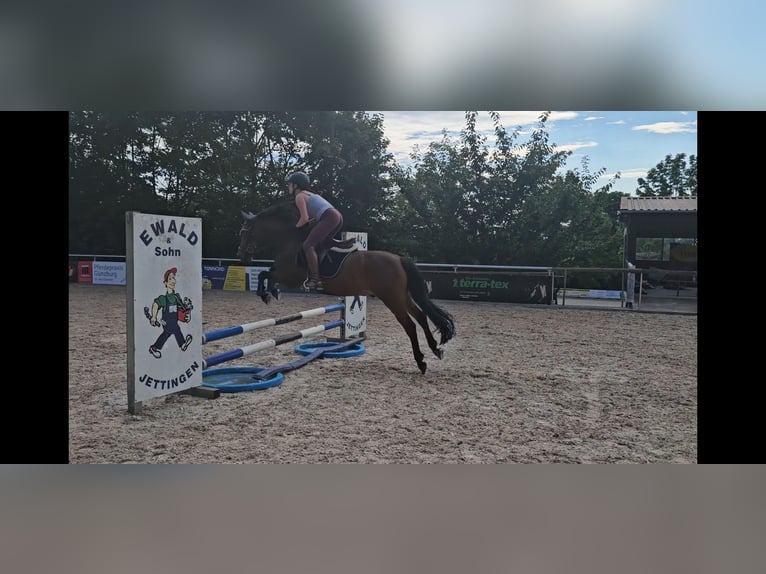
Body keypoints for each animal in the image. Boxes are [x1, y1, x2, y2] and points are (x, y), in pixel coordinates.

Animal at [240, 201, 456, 374]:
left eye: (244, 232)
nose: (241, 256)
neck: (290, 239)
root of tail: (399, 259)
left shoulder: (290, 277)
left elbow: (265, 273)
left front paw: (266, 293)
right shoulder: (283, 273)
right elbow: (268, 272)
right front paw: (271, 292)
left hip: (392, 299)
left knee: (410, 325)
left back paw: (421, 361)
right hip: (403, 296)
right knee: (421, 316)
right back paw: (435, 349)